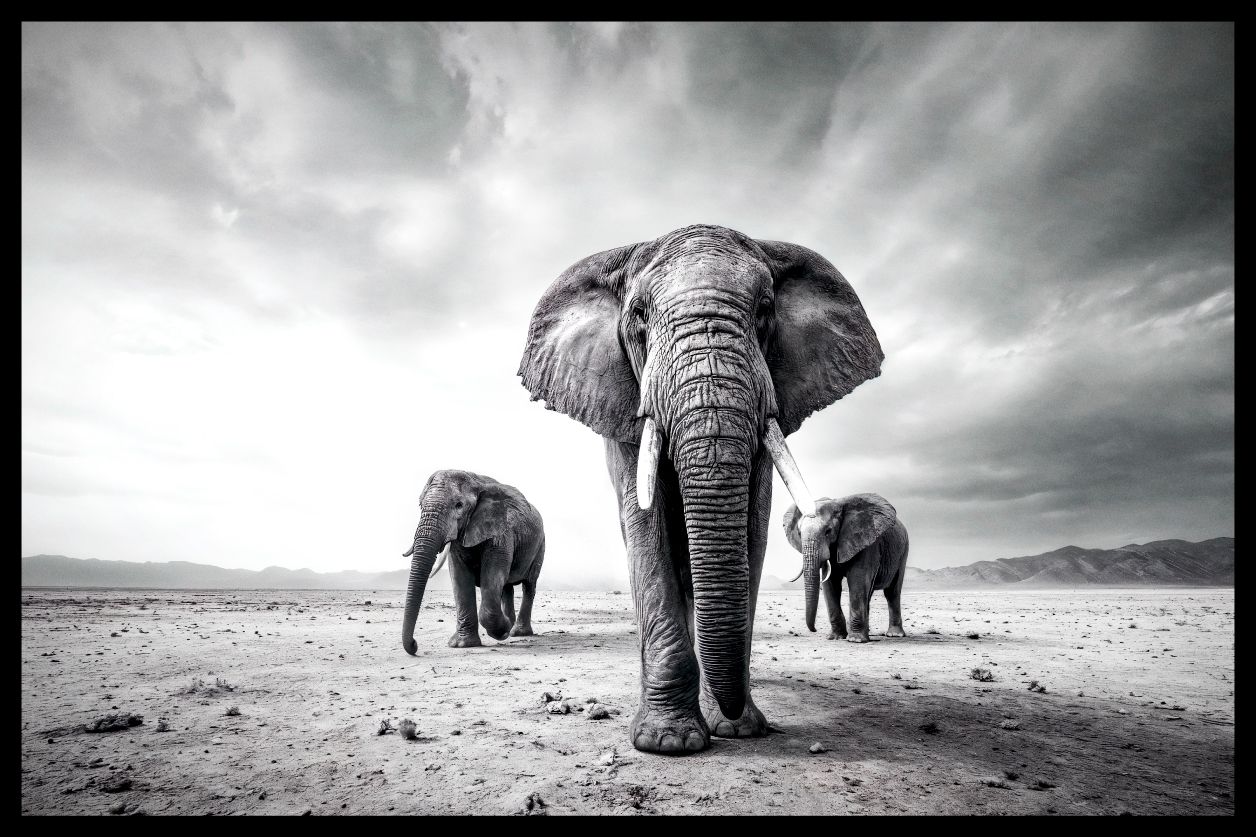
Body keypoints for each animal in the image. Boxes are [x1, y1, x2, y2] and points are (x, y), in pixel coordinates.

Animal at [400, 470, 545, 652]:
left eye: (459, 505)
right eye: (420, 505)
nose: (415, 644)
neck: (476, 481)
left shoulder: (500, 531)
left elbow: (492, 575)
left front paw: (502, 632)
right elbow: (459, 578)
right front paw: (462, 645)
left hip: (540, 545)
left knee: (529, 585)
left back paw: (517, 632)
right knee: (506, 587)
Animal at [518, 224, 882, 753]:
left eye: (765, 309)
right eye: (639, 314)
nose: (731, 715)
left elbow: (752, 530)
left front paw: (738, 728)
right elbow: (645, 531)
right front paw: (669, 742)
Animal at [783, 493, 910, 643]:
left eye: (828, 531)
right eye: (799, 533)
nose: (814, 629)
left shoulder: (865, 541)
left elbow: (857, 580)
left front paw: (855, 640)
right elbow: (830, 584)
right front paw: (835, 637)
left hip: (903, 550)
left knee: (892, 592)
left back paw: (894, 634)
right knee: (869, 593)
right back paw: (868, 633)